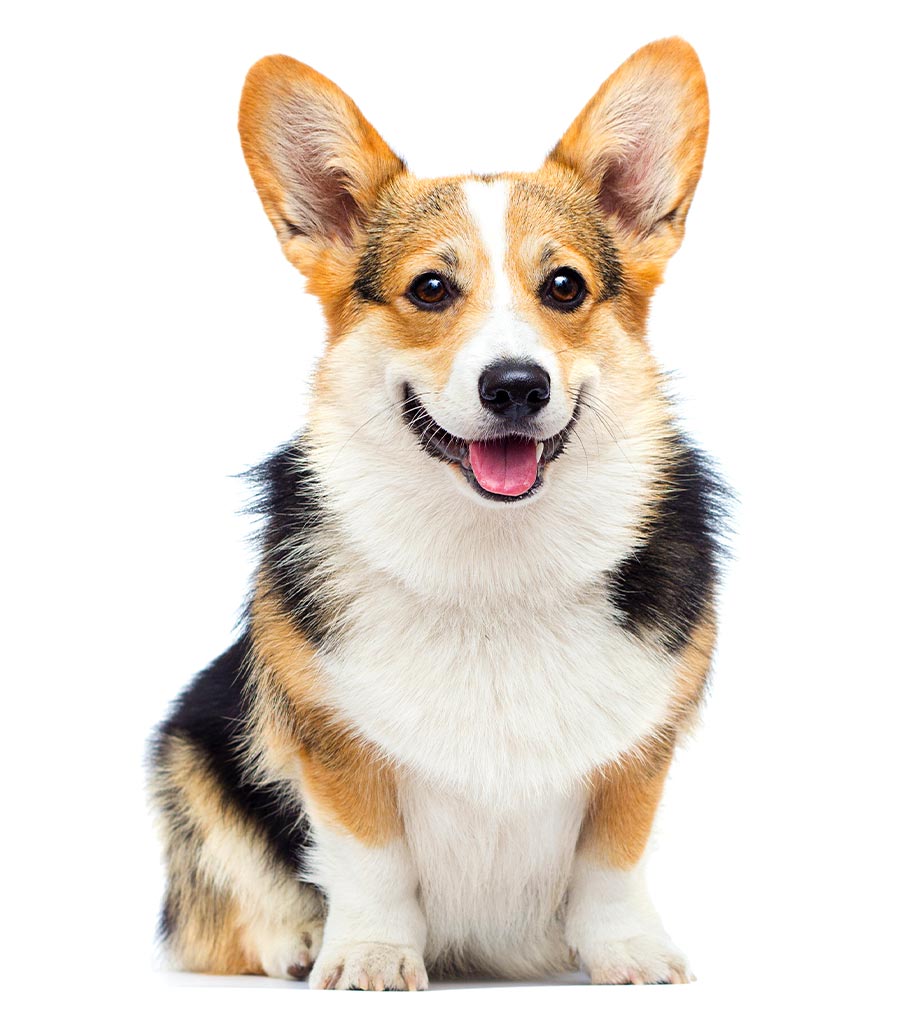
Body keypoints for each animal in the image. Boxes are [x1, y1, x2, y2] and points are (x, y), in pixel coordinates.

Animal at [150, 36, 721, 987]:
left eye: (563, 287)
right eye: (428, 290)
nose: (516, 386)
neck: (495, 562)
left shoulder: (639, 751)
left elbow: (613, 857)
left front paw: (628, 955)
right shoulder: (333, 745)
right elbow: (370, 860)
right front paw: (370, 957)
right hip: (191, 749)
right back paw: (297, 943)